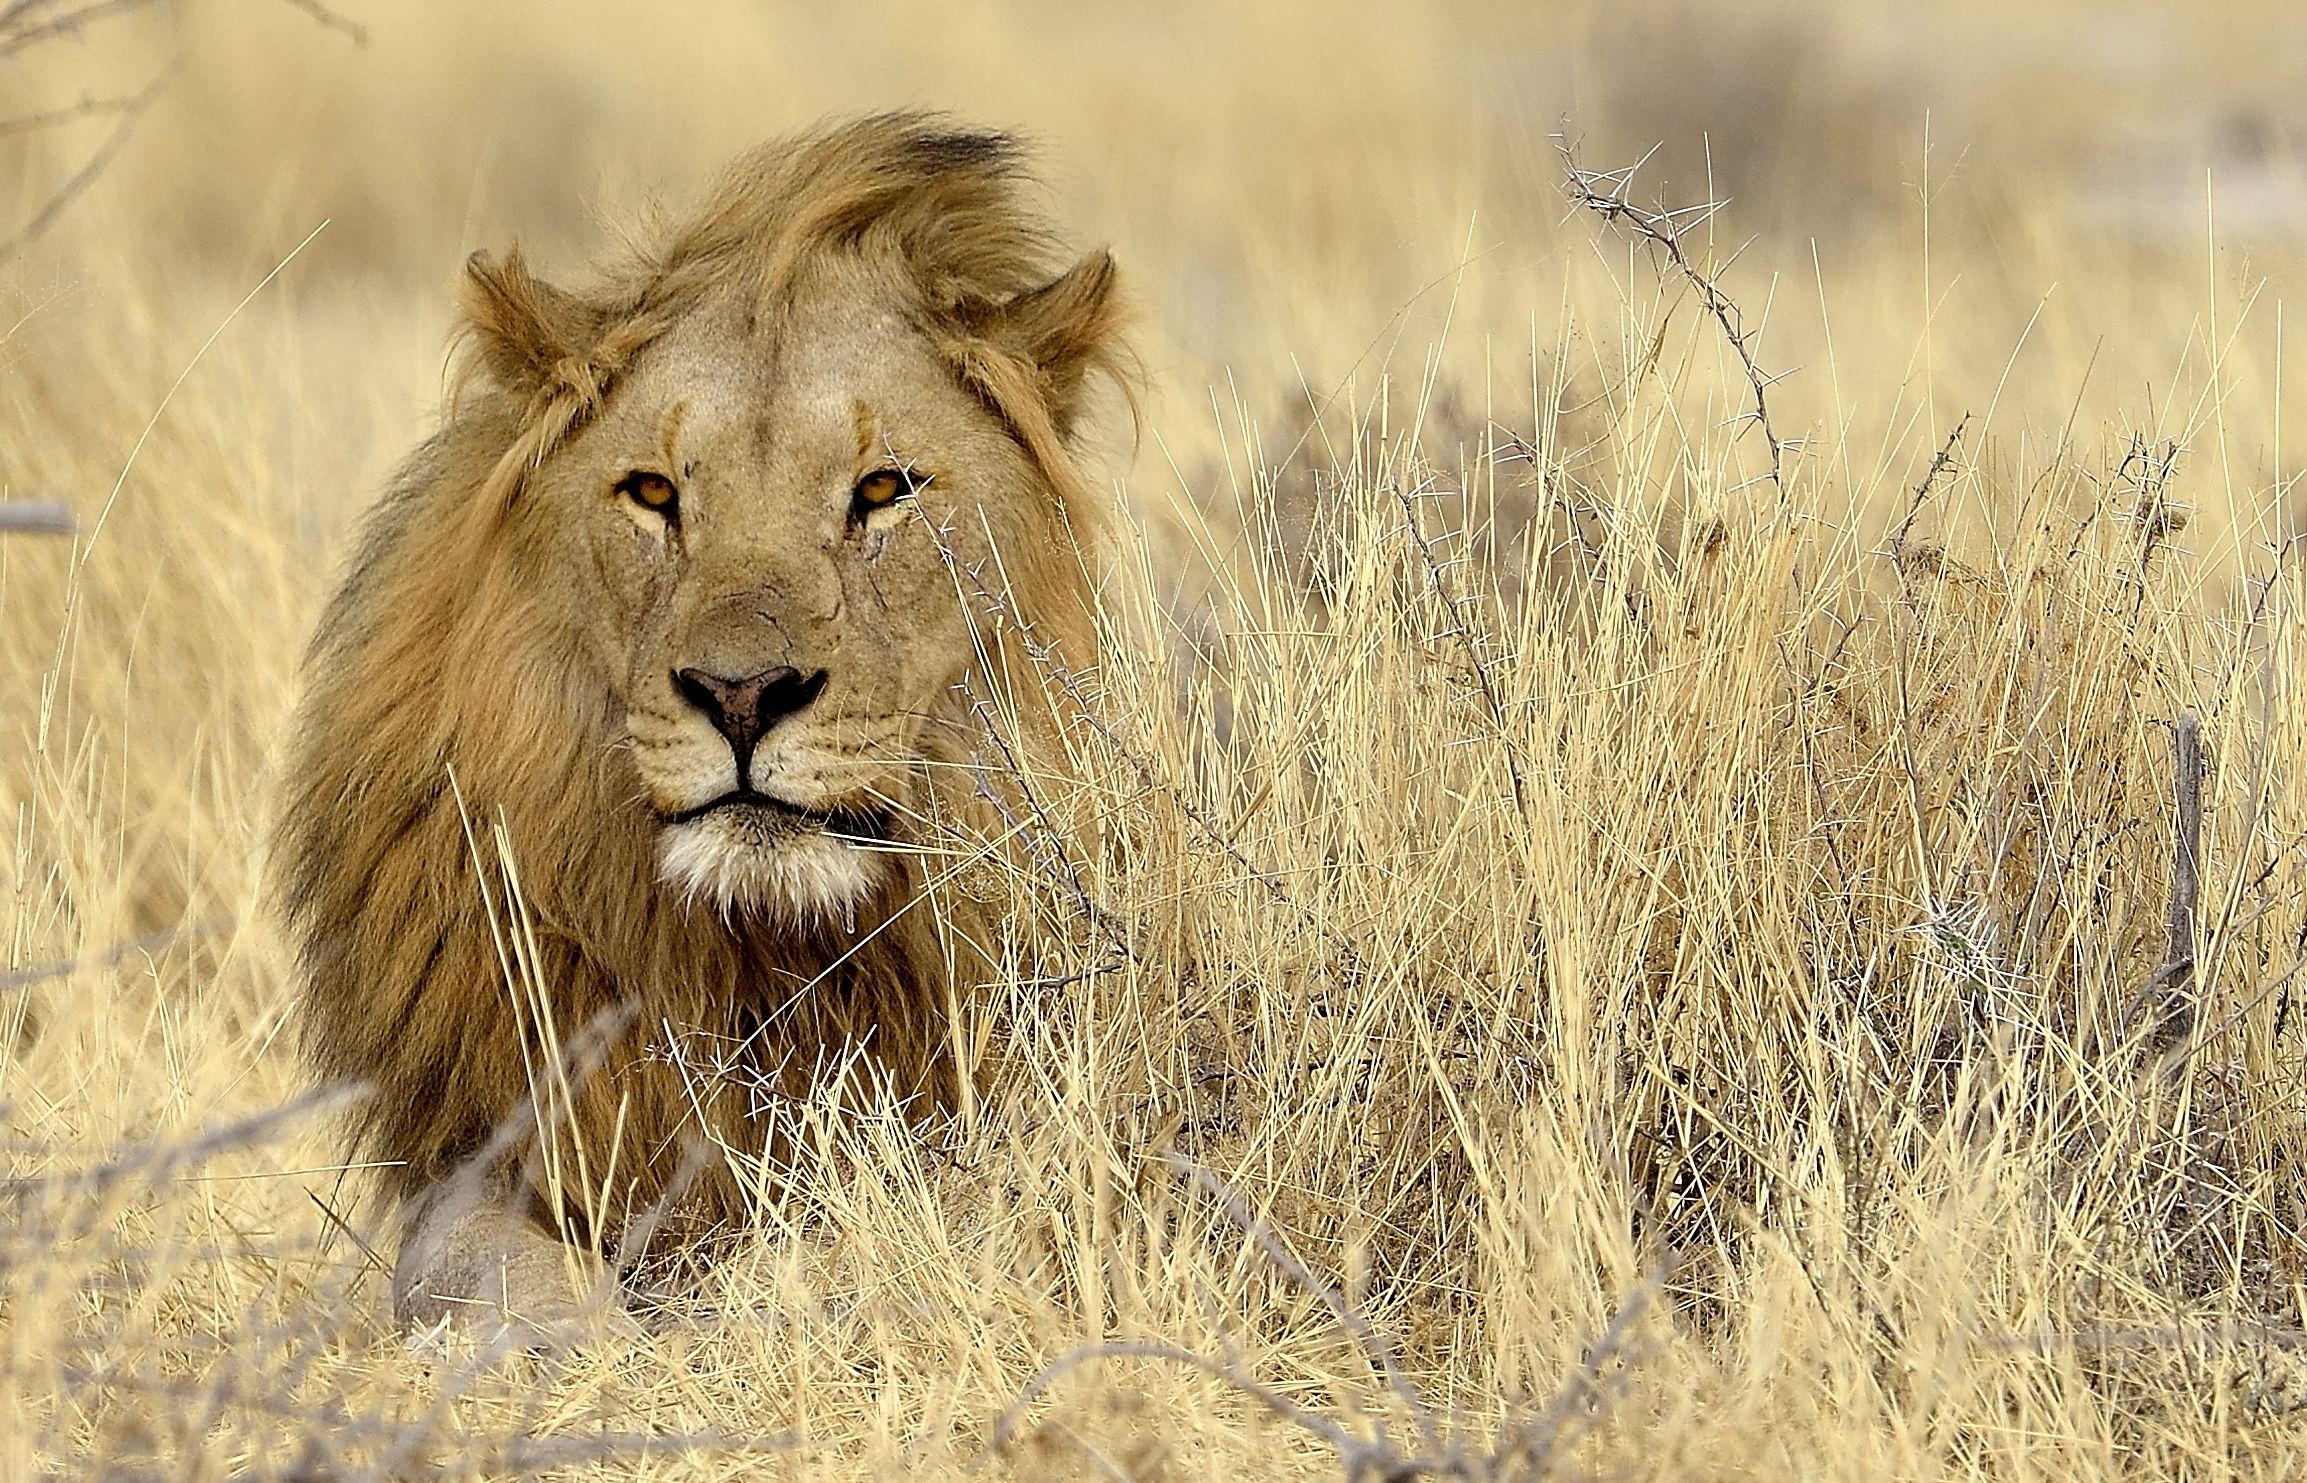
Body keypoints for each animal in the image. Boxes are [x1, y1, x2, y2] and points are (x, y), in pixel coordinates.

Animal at [275, 114, 1129, 1338]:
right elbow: (475, 1260)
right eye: (652, 493)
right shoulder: (492, 1153)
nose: (741, 694)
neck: (763, 959)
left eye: (883, 489)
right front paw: (577, 1337)